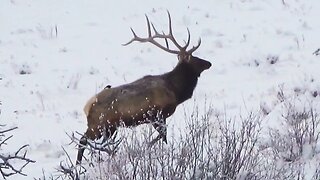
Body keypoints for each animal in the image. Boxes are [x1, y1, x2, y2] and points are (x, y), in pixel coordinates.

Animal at [76, 11, 211, 164]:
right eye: (195, 58)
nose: (209, 63)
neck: (175, 91)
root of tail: (87, 106)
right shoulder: (157, 115)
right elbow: (163, 136)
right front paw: (149, 147)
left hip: (109, 127)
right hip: (98, 125)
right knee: (82, 140)